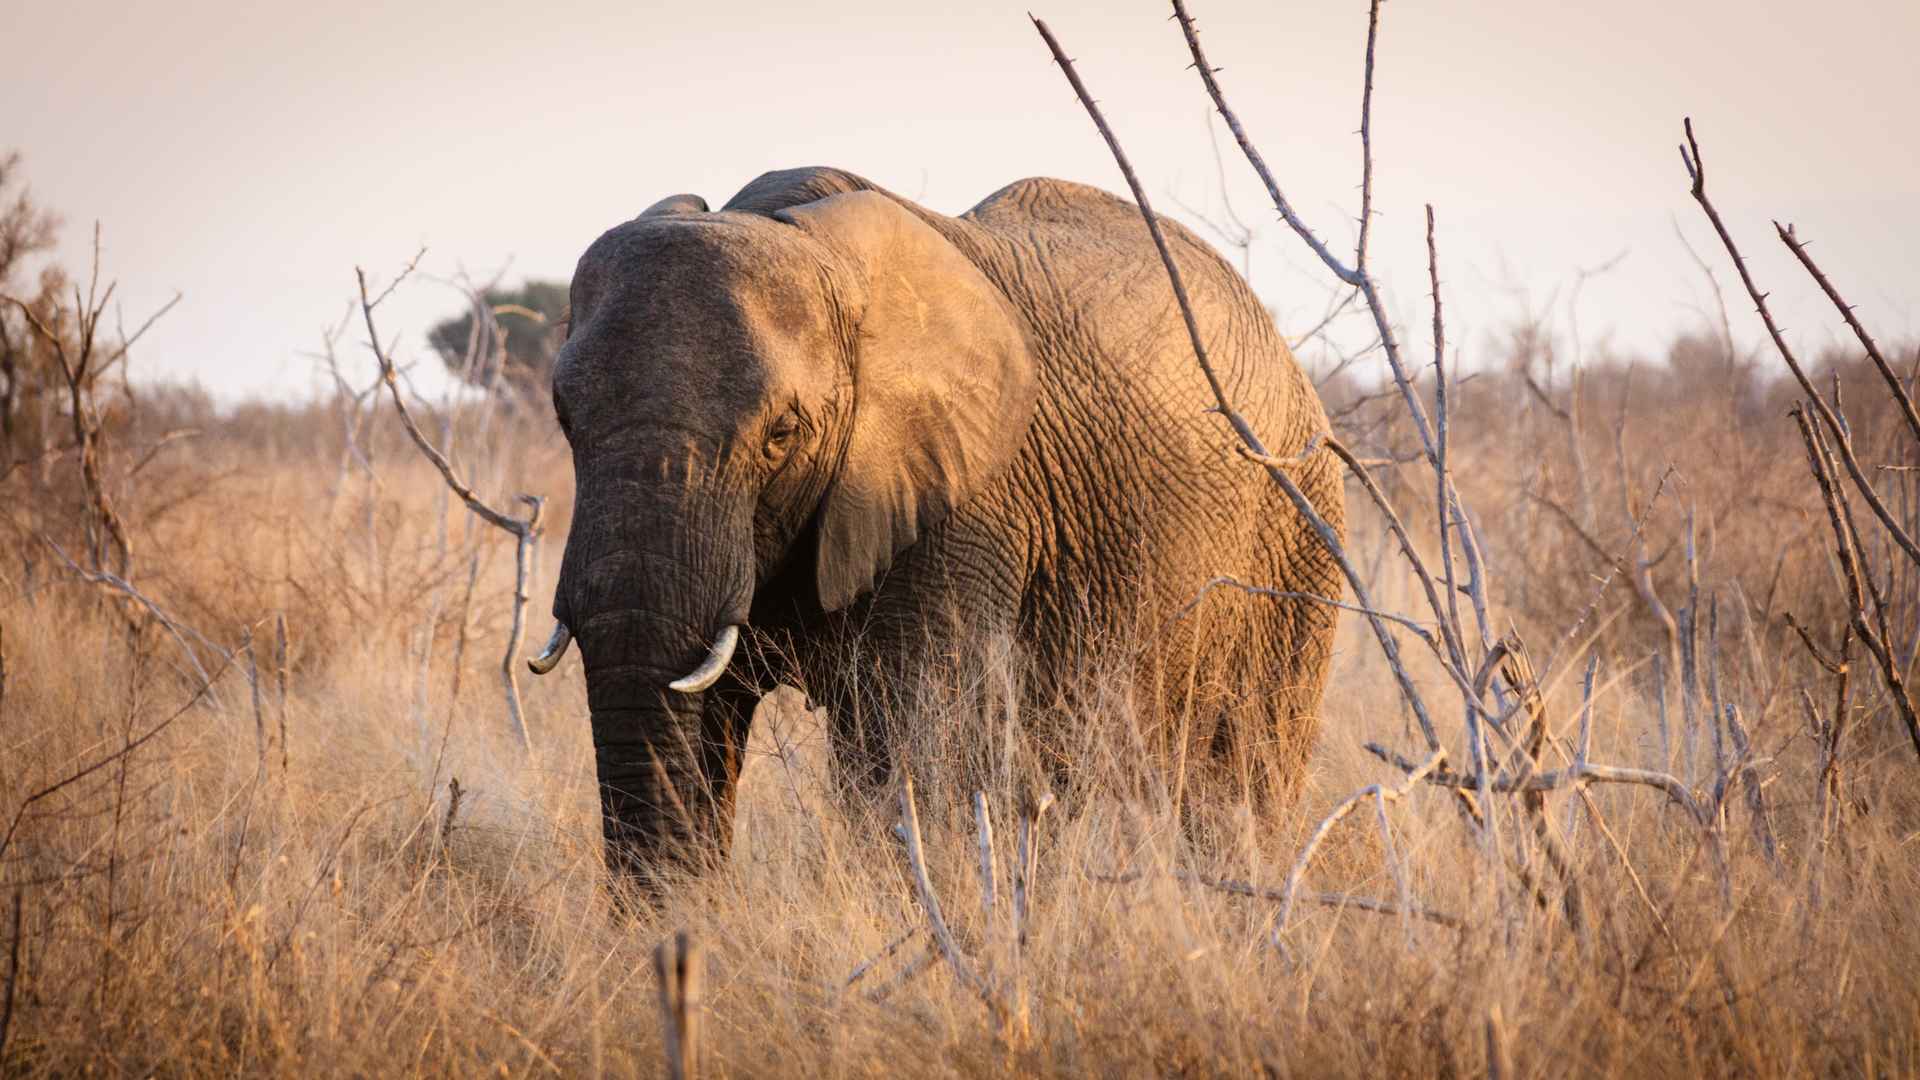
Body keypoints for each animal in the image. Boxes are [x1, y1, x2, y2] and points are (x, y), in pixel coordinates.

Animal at [518, 161, 1344, 883]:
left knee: (1243, 776)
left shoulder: (966, 501)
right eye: (563, 418)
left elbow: (908, 744)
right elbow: (708, 715)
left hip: (1300, 539)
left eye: (781, 433)